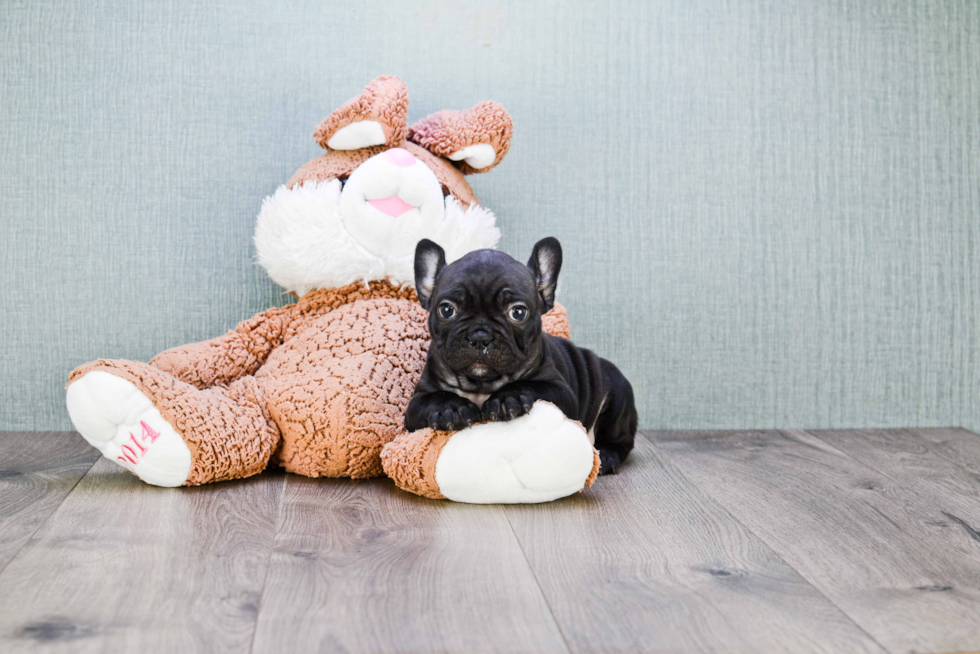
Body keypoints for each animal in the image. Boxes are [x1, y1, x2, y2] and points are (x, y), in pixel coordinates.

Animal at [404, 238, 640, 474]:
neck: (481, 386)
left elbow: (532, 385)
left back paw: (607, 455)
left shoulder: (562, 392)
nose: (480, 336)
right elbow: (434, 399)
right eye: (446, 310)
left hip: (617, 397)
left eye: (518, 312)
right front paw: (451, 407)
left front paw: (508, 398)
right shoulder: (416, 405)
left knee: (621, 438)